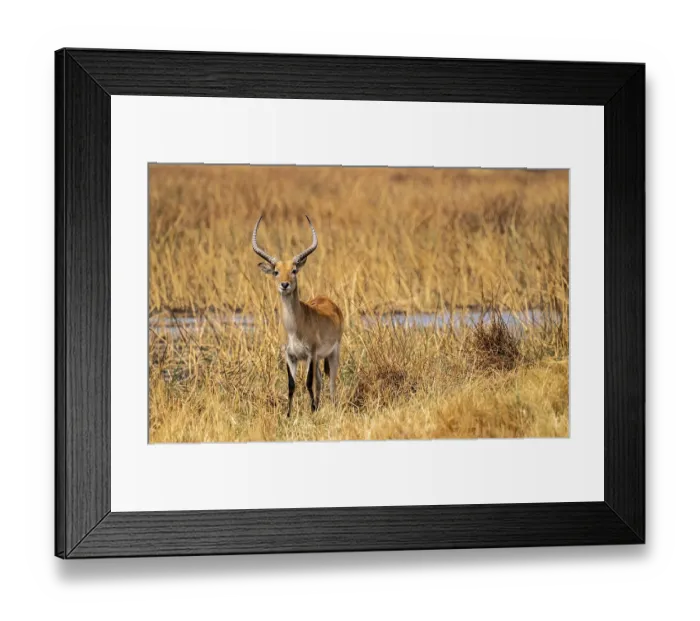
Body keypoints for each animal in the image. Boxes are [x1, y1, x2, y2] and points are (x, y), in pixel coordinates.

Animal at [252, 215, 344, 416]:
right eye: (276, 271)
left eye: (294, 270)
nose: (284, 284)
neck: (295, 326)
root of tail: (330, 302)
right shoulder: (290, 355)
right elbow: (292, 385)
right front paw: (289, 414)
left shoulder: (310, 354)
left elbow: (308, 383)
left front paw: (311, 411)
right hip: (318, 360)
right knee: (320, 381)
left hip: (332, 353)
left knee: (331, 382)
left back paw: (332, 407)